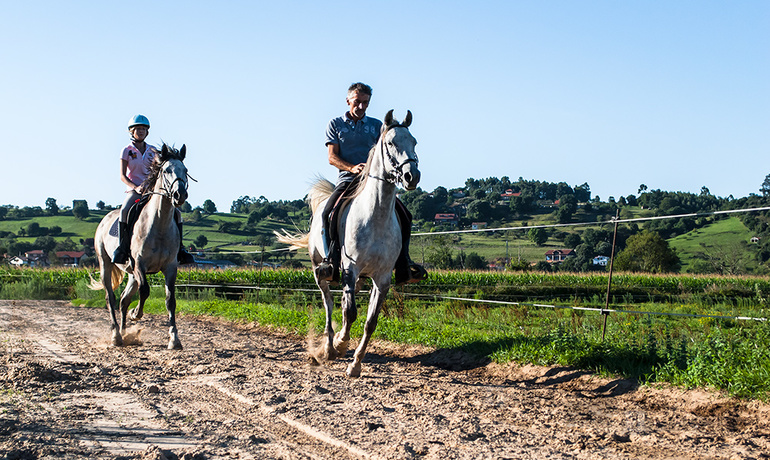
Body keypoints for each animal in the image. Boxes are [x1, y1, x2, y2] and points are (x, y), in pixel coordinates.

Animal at [90, 146, 190, 350]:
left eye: (185, 171)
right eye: (166, 170)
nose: (180, 195)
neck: (159, 224)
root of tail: (105, 219)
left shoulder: (170, 267)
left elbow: (170, 300)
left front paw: (174, 339)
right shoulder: (139, 264)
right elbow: (145, 291)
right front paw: (136, 313)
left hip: (130, 273)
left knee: (123, 300)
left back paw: (124, 333)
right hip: (106, 264)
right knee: (111, 298)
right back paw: (116, 336)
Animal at [278, 109, 420, 376]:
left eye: (414, 142)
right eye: (390, 143)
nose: (412, 176)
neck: (375, 216)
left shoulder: (382, 278)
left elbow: (370, 321)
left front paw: (355, 364)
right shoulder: (349, 268)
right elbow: (350, 312)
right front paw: (341, 345)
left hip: (360, 279)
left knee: (343, 304)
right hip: (321, 272)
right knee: (330, 304)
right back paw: (329, 347)